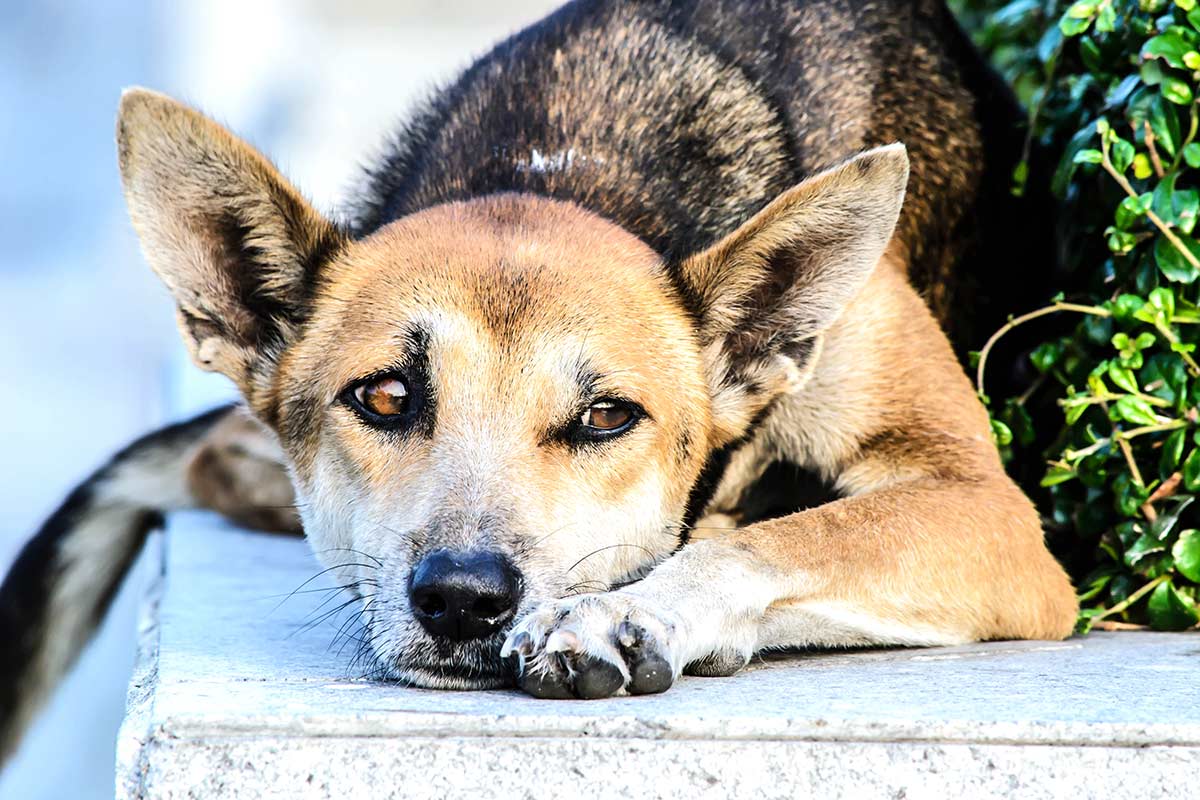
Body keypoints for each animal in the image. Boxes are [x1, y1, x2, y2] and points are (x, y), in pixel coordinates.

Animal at [0, 0, 1075, 762]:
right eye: (384, 397)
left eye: (606, 416)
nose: (462, 599)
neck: (570, 157)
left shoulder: (982, 503)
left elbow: (788, 538)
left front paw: (632, 607)